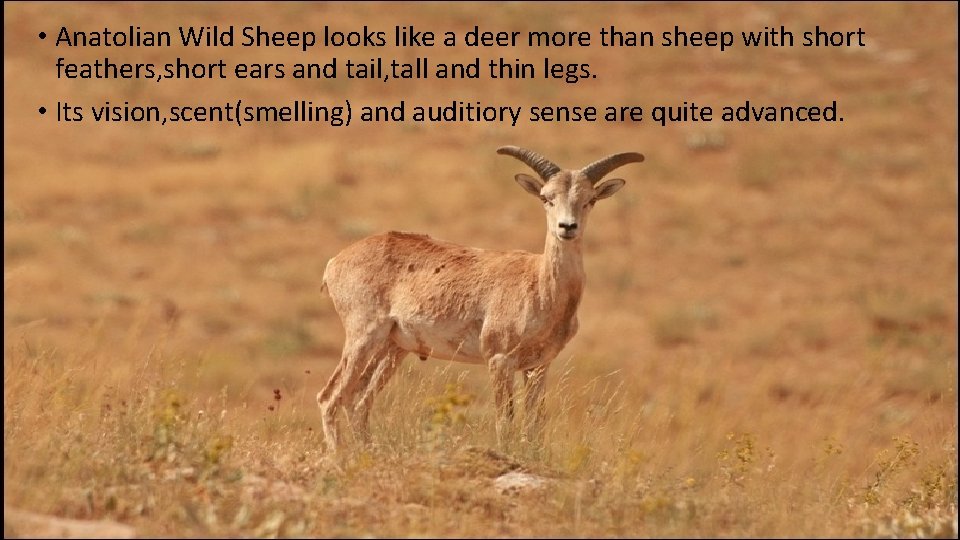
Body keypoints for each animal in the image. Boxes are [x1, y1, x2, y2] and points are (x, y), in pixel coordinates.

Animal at [316, 146, 644, 450]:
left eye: (590, 199)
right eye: (546, 197)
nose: (567, 227)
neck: (539, 288)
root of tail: (335, 262)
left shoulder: (538, 367)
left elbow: (535, 424)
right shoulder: (499, 360)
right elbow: (505, 422)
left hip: (392, 348)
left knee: (358, 402)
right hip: (363, 336)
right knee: (330, 397)